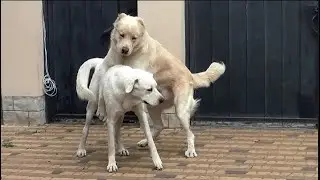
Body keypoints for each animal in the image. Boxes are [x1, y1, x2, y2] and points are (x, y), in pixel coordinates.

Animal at [75, 12, 225, 164]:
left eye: (134, 38)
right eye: (122, 35)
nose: (124, 49)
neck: (124, 58)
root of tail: (190, 75)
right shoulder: (106, 71)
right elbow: (101, 92)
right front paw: (101, 109)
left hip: (180, 110)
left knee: (189, 133)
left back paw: (190, 150)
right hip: (147, 105)